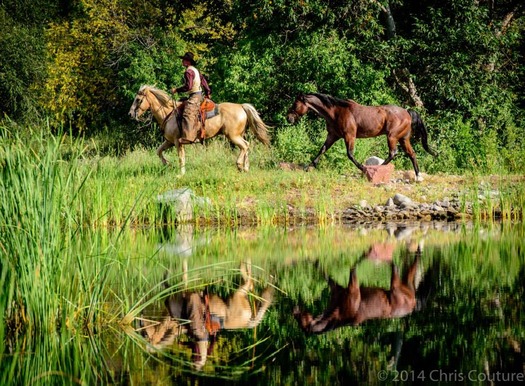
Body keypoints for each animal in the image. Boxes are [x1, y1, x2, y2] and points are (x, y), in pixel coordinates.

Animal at [129, 86, 270, 175]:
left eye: (138, 100)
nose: (130, 114)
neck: (169, 113)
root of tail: (241, 106)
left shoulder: (177, 142)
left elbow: (181, 157)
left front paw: (181, 174)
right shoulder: (169, 141)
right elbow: (158, 151)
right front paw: (167, 164)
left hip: (233, 136)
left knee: (245, 146)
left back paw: (240, 165)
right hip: (238, 135)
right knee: (246, 146)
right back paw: (246, 167)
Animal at [137, 260, 272, 370]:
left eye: (144, 334)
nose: (141, 317)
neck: (173, 322)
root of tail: (247, 323)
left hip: (237, 296)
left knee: (249, 282)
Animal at [286, 92, 434, 182]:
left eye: (295, 104)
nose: (288, 118)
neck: (336, 112)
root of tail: (407, 112)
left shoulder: (349, 136)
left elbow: (350, 154)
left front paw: (363, 169)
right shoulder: (333, 135)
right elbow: (322, 149)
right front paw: (309, 166)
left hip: (392, 136)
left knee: (393, 152)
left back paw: (376, 170)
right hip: (403, 138)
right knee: (411, 154)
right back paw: (418, 176)